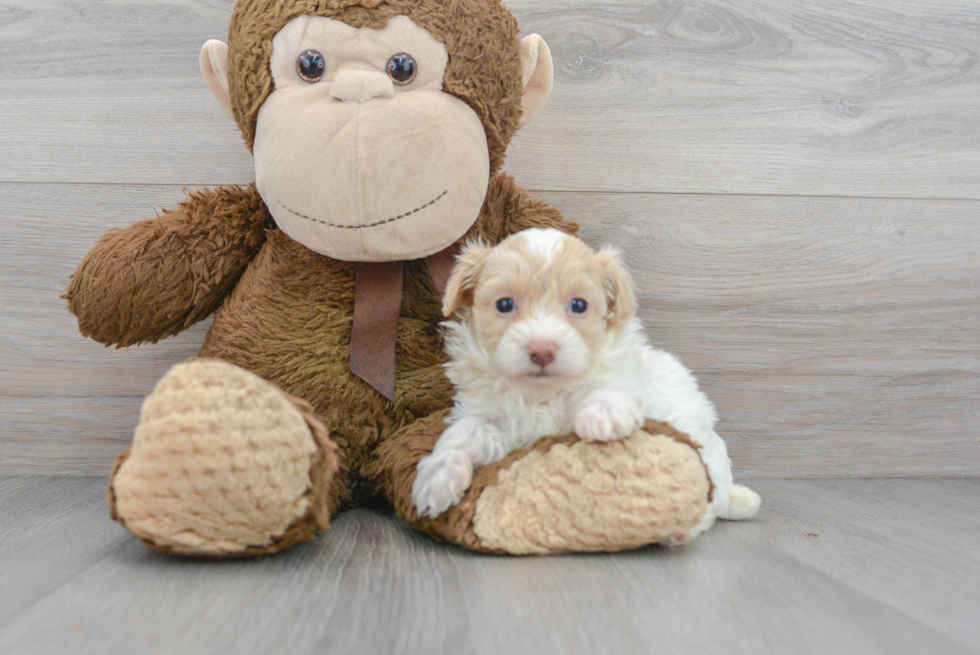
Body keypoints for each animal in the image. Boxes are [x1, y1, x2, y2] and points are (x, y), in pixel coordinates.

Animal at [410, 228, 760, 540]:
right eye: (504, 305)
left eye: (579, 305)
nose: (542, 350)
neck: (541, 394)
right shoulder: (490, 417)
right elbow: (463, 432)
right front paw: (437, 474)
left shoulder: (626, 380)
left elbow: (607, 389)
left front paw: (604, 413)